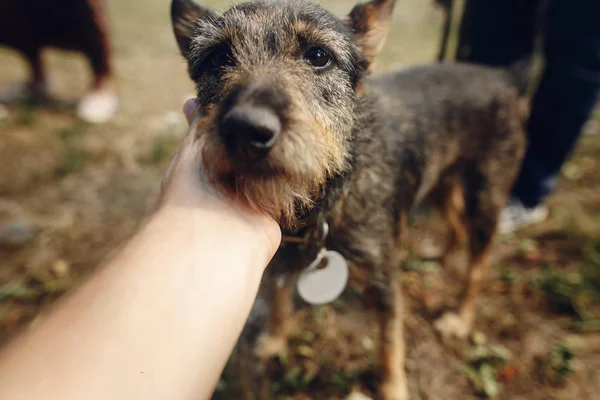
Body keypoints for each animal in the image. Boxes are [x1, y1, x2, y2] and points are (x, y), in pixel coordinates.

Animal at [169, 0, 524, 396]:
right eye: (218, 57)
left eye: (318, 55)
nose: (246, 129)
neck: (323, 200)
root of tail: (503, 76)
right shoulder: (278, 261)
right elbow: (279, 301)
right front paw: (275, 339)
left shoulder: (383, 282)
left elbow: (389, 343)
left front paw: (393, 390)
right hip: (441, 184)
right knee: (456, 226)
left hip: (486, 196)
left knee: (478, 264)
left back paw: (460, 319)